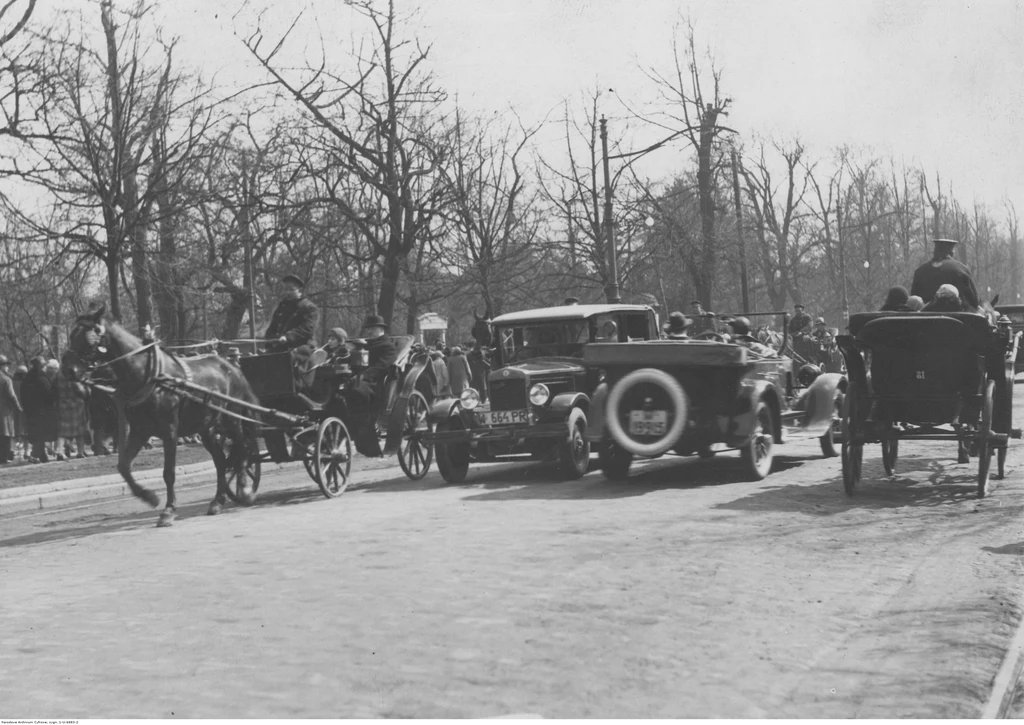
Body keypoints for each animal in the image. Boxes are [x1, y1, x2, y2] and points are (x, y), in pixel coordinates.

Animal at [66, 301, 262, 528]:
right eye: (71, 335)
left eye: (88, 336)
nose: (68, 369)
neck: (149, 376)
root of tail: (231, 366)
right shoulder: (140, 431)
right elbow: (124, 466)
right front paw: (149, 496)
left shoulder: (169, 430)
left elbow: (168, 473)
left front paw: (168, 510)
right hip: (207, 427)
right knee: (221, 460)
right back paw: (218, 500)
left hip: (232, 419)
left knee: (243, 448)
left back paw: (244, 488)